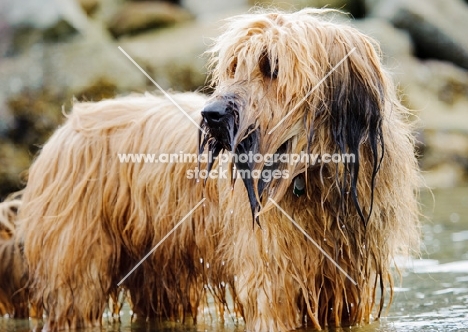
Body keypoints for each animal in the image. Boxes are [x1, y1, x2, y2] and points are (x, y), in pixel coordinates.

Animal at [16, 7, 418, 332]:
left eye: (271, 67)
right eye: (233, 67)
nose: (211, 115)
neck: (310, 176)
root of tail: (68, 124)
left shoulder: (346, 286)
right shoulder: (272, 278)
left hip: (159, 271)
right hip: (77, 261)